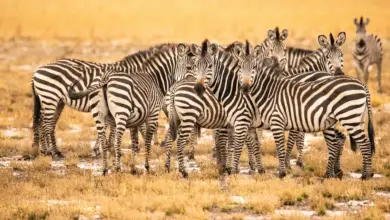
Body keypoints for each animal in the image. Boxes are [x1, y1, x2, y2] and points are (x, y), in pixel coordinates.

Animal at [32, 43, 174, 160]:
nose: (160, 144)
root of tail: (37, 71)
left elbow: (109, 126)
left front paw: (100, 149)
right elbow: (131, 126)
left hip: (56, 101)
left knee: (44, 122)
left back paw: (47, 150)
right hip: (50, 97)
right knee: (45, 123)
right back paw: (51, 152)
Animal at [68, 43, 194, 174]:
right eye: (189, 67)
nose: (195, 86)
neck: (154, 79)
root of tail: (106, 77)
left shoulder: (135, 121)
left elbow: (134, 142)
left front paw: (133, 167)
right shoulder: (153, 114)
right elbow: (147, 141)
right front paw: (147, 167)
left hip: (98, 115)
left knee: (103, 140)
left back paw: (105, 169)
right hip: (121, 112)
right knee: (117, 141)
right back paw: (117, 168)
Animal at [244, 56, 374, 179]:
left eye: (254, 68)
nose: (245, 87)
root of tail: (362, 85)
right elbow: (253, 144)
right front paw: (255, 167)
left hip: (348, 117)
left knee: (363, 143)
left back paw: (363, 176)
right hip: (348, 119)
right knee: (341, 140)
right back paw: (340, 172)